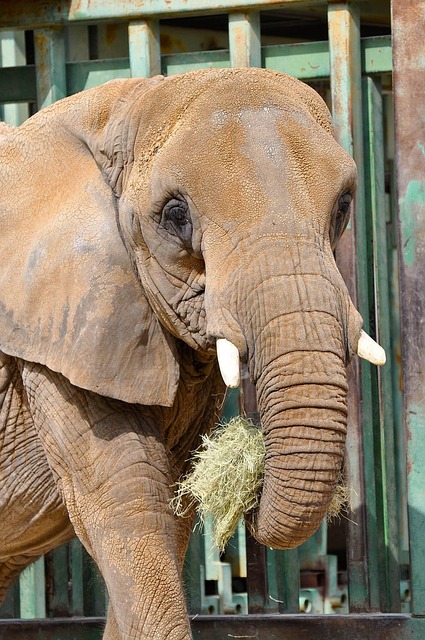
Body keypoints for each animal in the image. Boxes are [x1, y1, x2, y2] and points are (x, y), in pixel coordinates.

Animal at [0, 67, 384, 639]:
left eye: (342, 207)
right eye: (176, 216)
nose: (252, 489)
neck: (121, 107)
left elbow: (172, 502)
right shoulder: (56, 325)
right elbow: (127, 501)